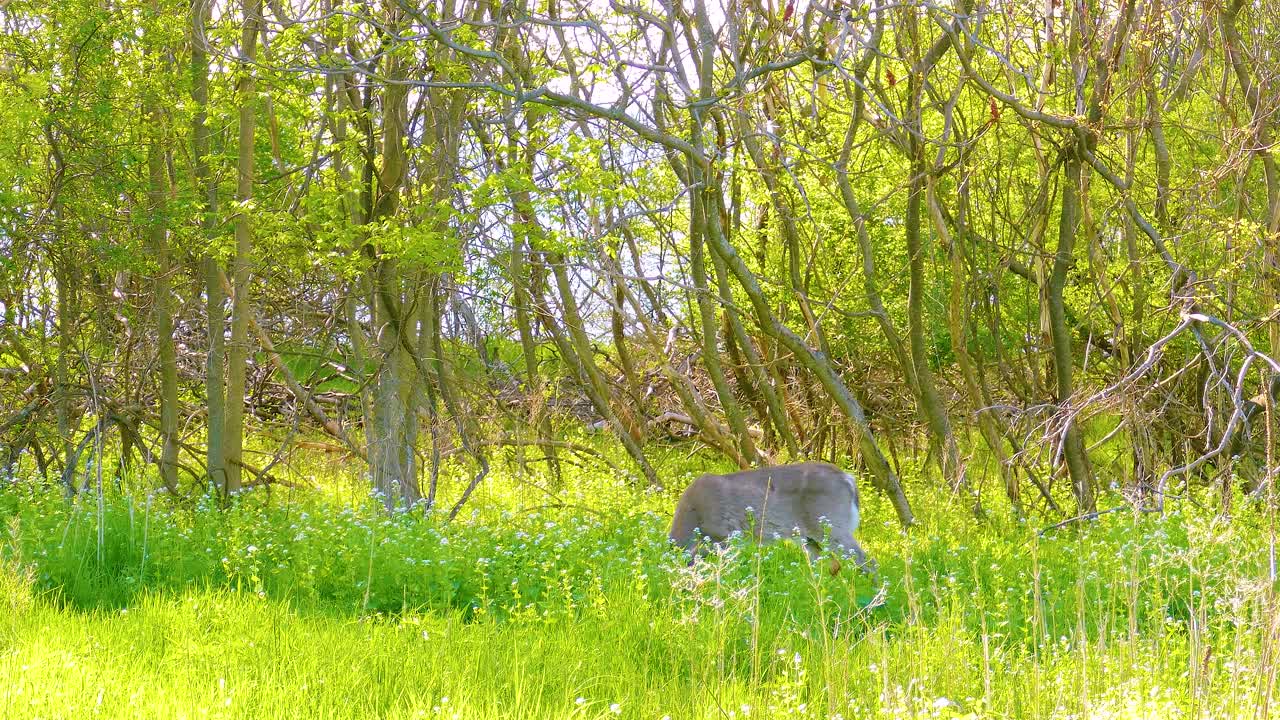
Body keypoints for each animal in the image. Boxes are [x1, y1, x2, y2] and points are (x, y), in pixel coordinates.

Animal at [669, 462, 874, 574]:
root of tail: (849, 480)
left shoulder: (724, 534)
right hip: (810, 537)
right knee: (829, 564)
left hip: (831, 525)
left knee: (868, 561)